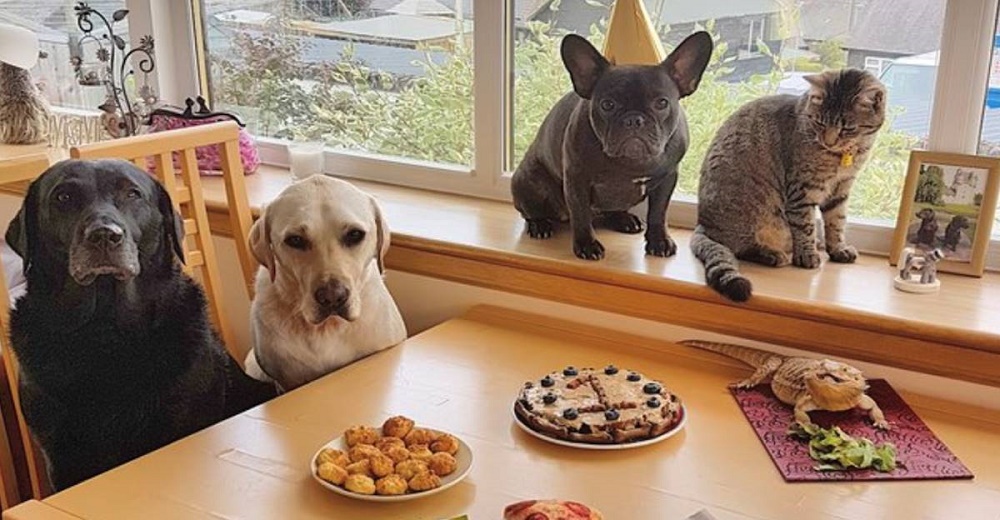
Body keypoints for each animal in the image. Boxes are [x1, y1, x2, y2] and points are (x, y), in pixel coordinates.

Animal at [692, 70, 888, 302]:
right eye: (820, 123)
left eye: (847, 128)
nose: (829, 141)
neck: (845, 155)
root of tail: (702, 224)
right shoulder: (802, 189)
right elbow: (805, 226)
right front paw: (807, 255)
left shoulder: (841, 189)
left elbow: (837, 222)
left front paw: (837, 248)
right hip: (751, 214)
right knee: (737, 247)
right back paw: (773, 254)